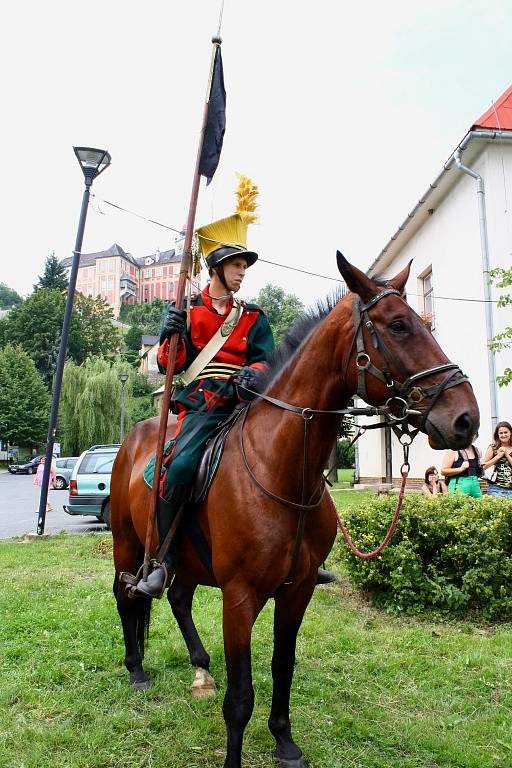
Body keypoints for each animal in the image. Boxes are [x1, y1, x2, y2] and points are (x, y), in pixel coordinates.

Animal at [109, 256, 480, 768]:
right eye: (399, 325)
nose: (466, 418)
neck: (281, 466)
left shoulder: (298, 589)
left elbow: (283, 666)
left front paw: (284, 741)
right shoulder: (239, 597)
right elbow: (241, 697)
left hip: (186, 557)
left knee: (179, 597)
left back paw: (201, 669)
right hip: (127, 542)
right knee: (127, 594)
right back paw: (137, 669)